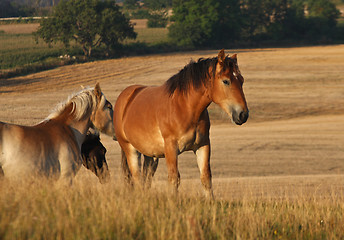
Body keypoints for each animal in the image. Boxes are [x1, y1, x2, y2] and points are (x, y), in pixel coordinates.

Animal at [114, 49, 249, 198]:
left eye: (241, 80)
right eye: (226, 81)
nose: (243, 115)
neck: (185, 108)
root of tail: (126, 97)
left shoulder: (203, 145)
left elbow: (206, 178)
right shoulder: (171, 149)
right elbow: (174, 179)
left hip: (150, 155)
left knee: (146, 178)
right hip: (130, 149)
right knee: (137, 178)